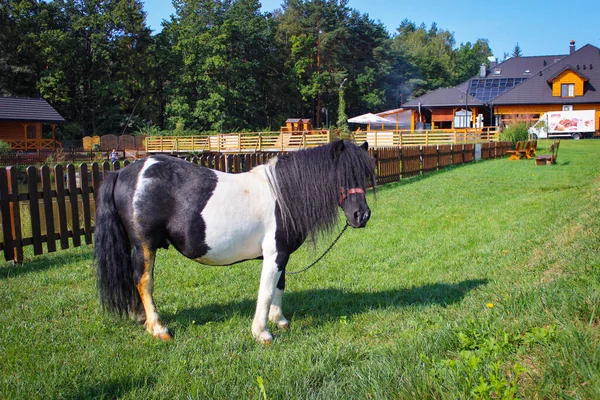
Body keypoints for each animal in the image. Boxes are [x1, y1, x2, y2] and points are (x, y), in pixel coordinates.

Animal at [95, 139, 372, 342]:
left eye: (364, 176)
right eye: (342, 175)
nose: (362, 216)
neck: (283, 196)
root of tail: (122, 171)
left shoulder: (282, 254)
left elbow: (279, 286)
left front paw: (280, 320)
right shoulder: (274, 255)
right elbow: (266, 291)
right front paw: (262, 333)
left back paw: (141, 318)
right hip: (145, 245)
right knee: (144, 281)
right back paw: (159, 328)